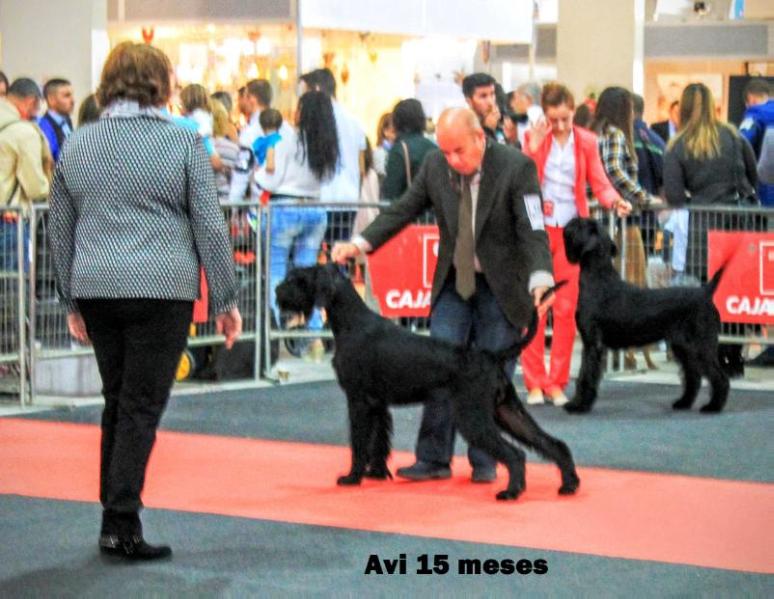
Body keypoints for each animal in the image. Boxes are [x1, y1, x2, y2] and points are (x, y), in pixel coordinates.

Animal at [276, 264, 580, 504]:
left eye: (297, 279)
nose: (278, 292)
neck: (352, 323)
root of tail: (491, 356)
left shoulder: (359, 401)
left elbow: (360, 443)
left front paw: (352, 477)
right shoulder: (377, 404)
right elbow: (379, 441)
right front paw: (376, 474)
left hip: (474, 417)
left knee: (515, 454)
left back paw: (511, 492)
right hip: (507, 411)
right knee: (552, 443)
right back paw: (569, 484)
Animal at [564, 217, 732, 418]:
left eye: (581, 224)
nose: (569, 223)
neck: (598, 277)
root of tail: (706, 293)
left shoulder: (592, 344)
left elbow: (585, 375)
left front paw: (578, 406)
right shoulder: (591, 344)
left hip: (701, 346)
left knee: (719, 377)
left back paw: (713, 406)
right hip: (683, 347)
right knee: (693, 376)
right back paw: (683, 402)